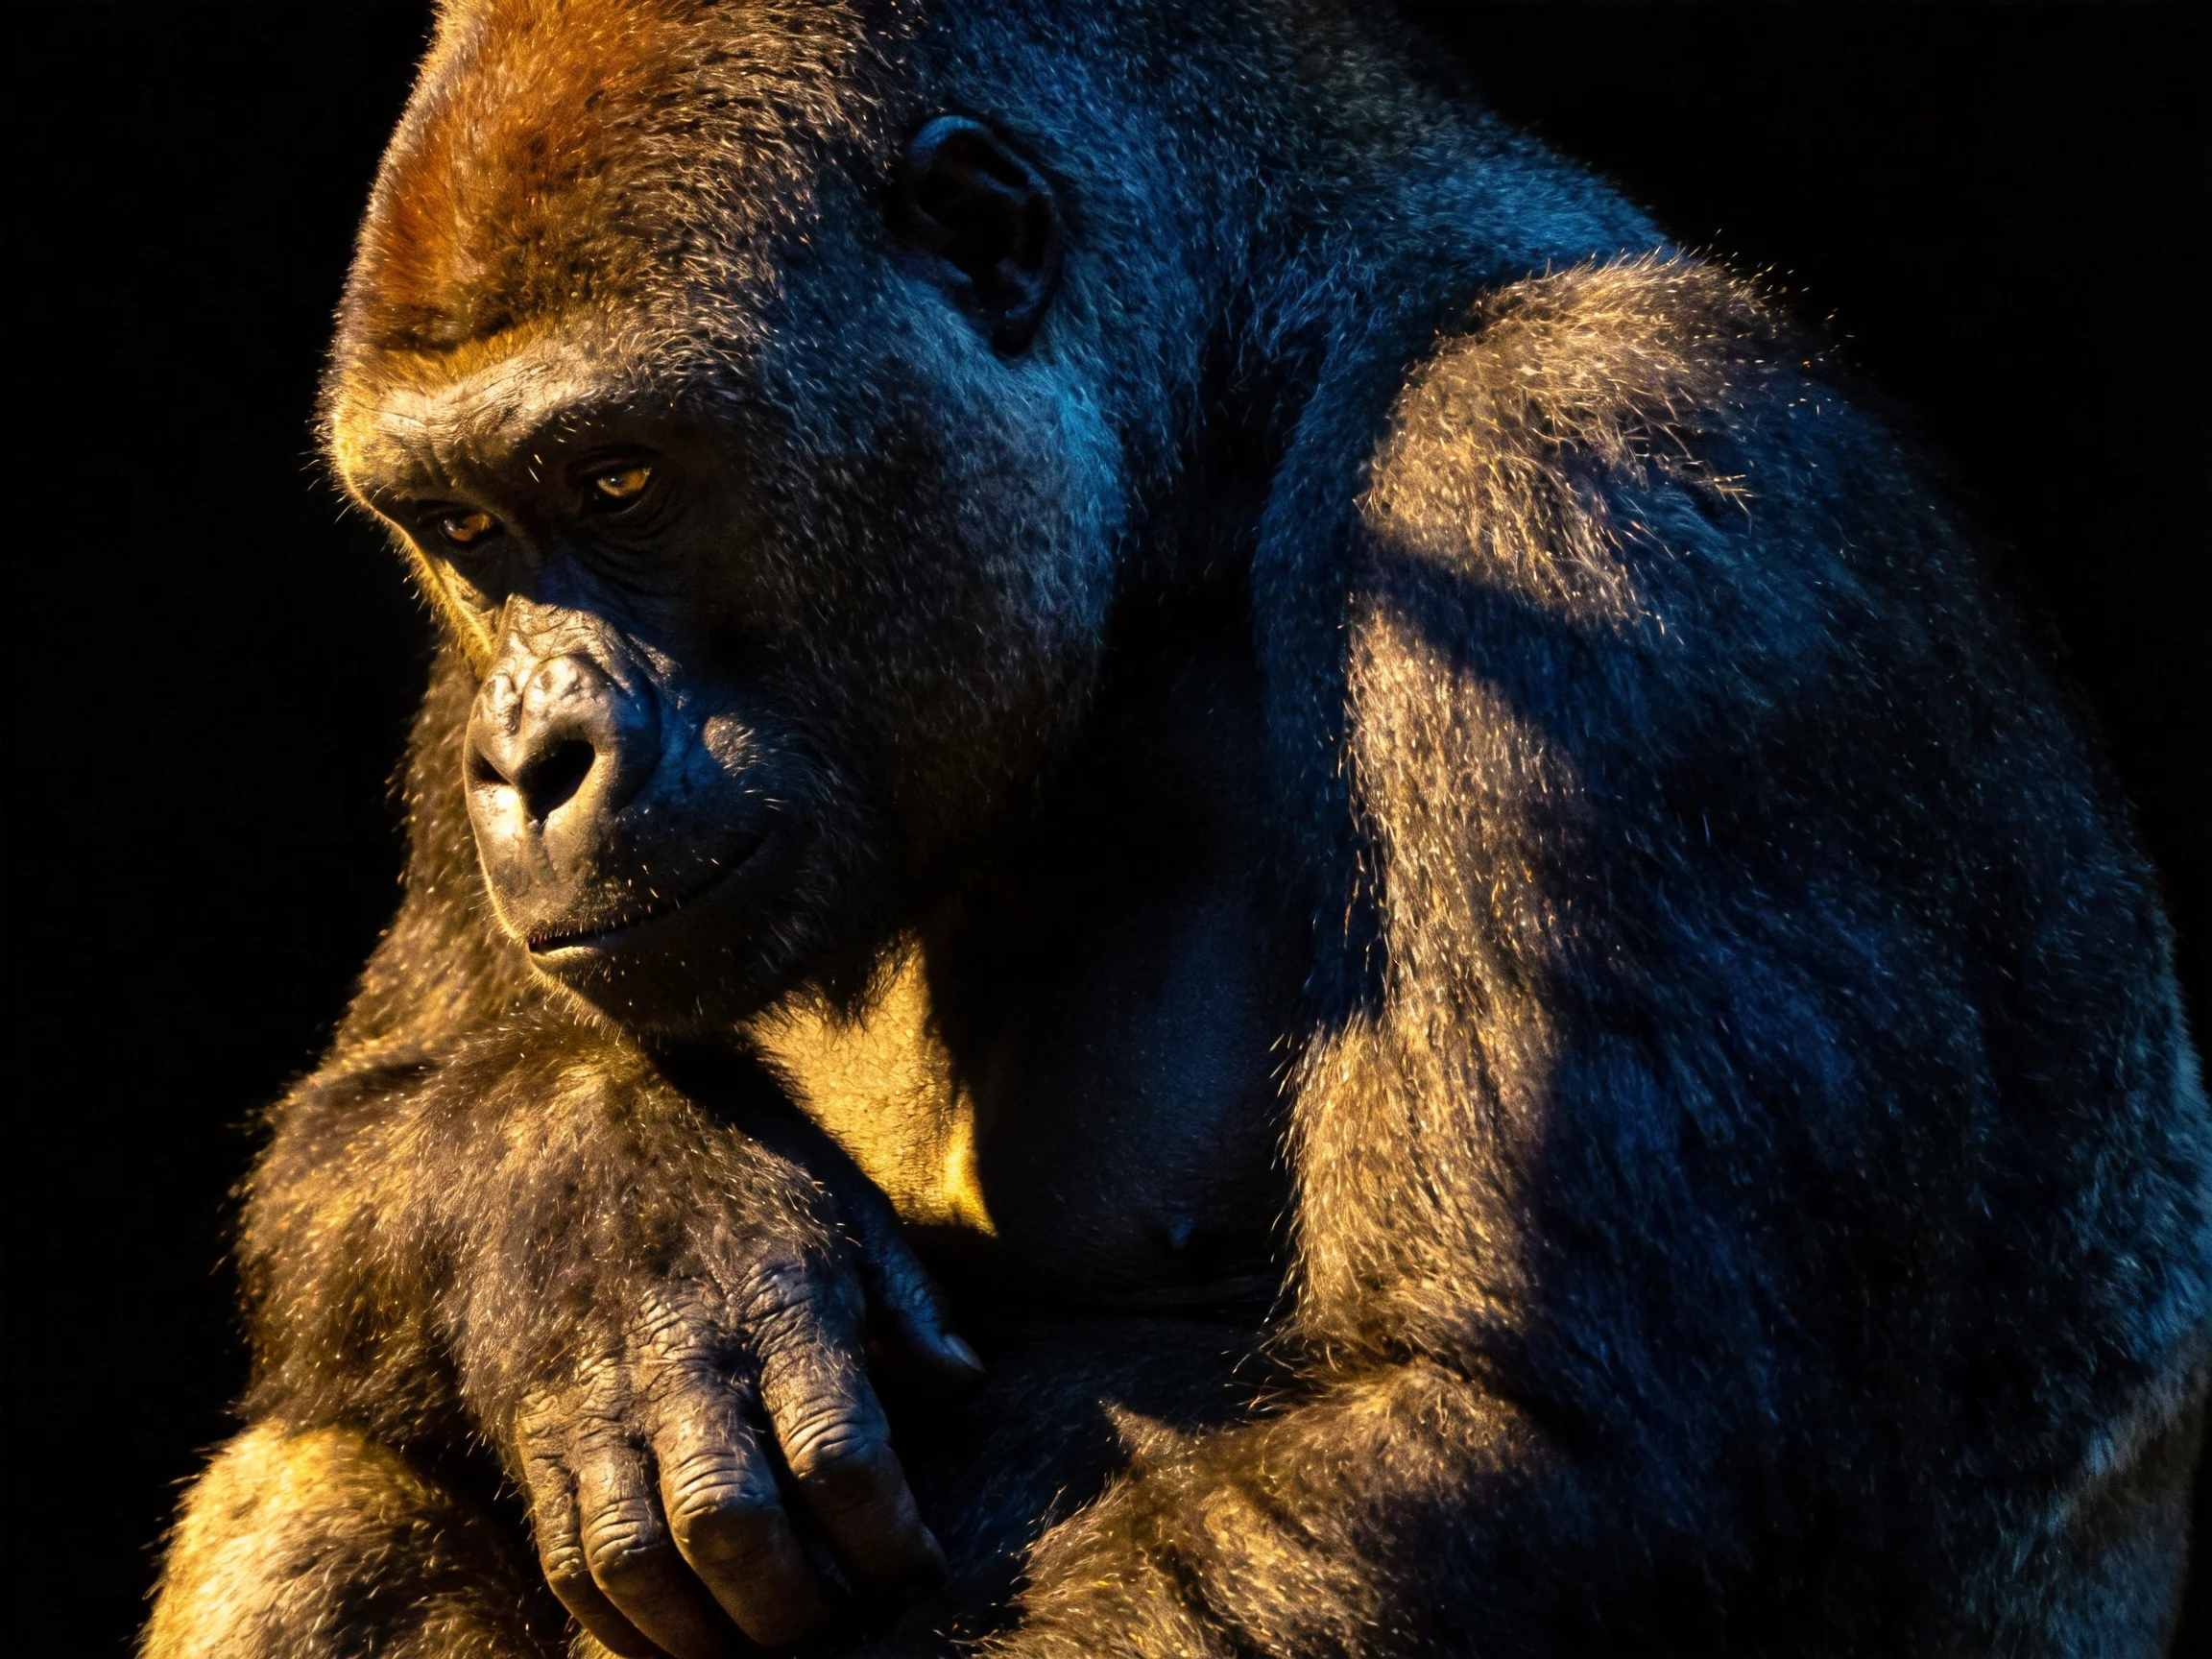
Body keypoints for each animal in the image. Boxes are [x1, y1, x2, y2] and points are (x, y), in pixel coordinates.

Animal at [142, 0, 2210, 1655]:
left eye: (622, 478)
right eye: (463, 527)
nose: (532, 759)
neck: (1226, 402)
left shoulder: (1579, 476)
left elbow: (1534, 1447)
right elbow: (379, 1112)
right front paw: (618, 1236)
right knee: (325, 1471)